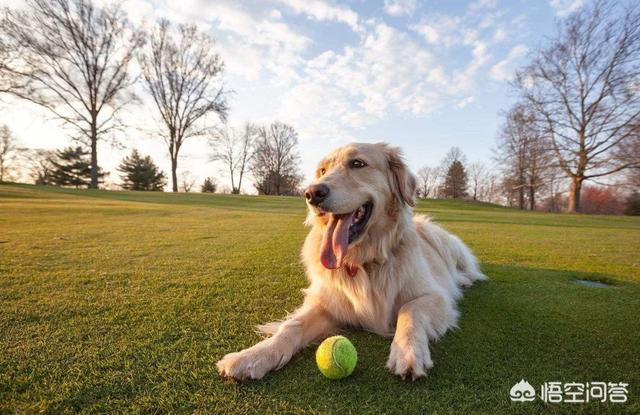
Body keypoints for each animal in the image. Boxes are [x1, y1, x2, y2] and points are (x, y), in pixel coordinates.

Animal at [216, 142, 484, 380]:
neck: (364, 261)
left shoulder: (435, 297)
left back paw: (464, 280)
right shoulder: (328, 303)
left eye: (357, 163)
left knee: (467, 270)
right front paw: (253, 356)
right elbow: (291, 326)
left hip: (442, 239)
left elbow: (409, 310)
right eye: (323, 170)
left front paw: (408, 352)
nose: (312, 193)